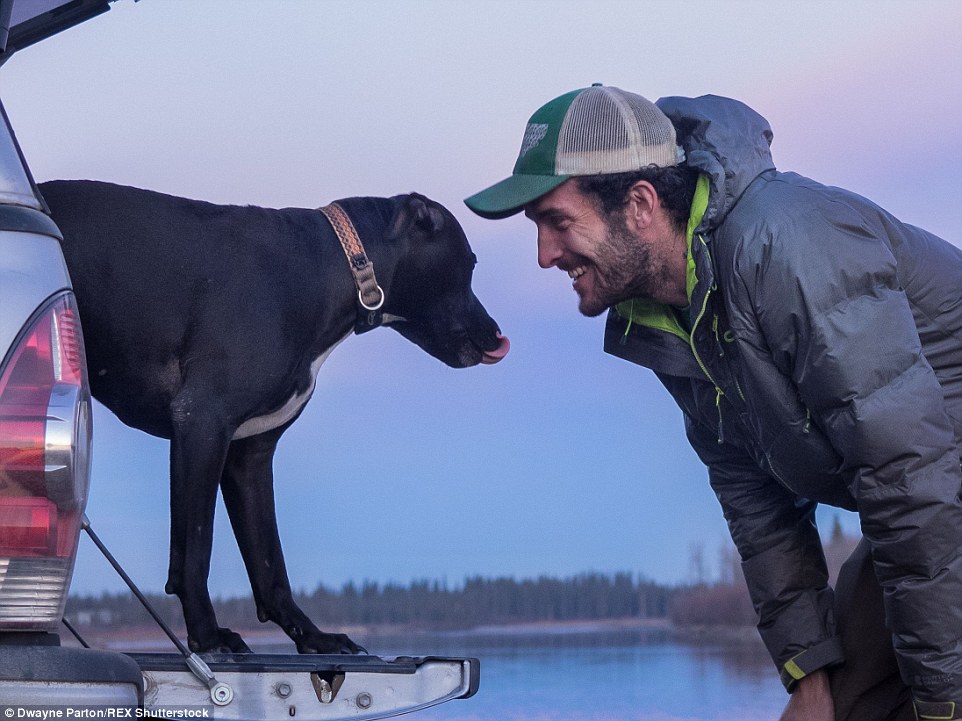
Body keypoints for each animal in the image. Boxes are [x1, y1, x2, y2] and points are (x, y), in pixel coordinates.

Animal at [38, 179, 510, 652]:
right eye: (469, 264)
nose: (497, 335)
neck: (324, 266)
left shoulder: (249, 454)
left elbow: (270, 564)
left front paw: (314, 636)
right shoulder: (202, 423)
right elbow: (195, 551)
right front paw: (208, 635)